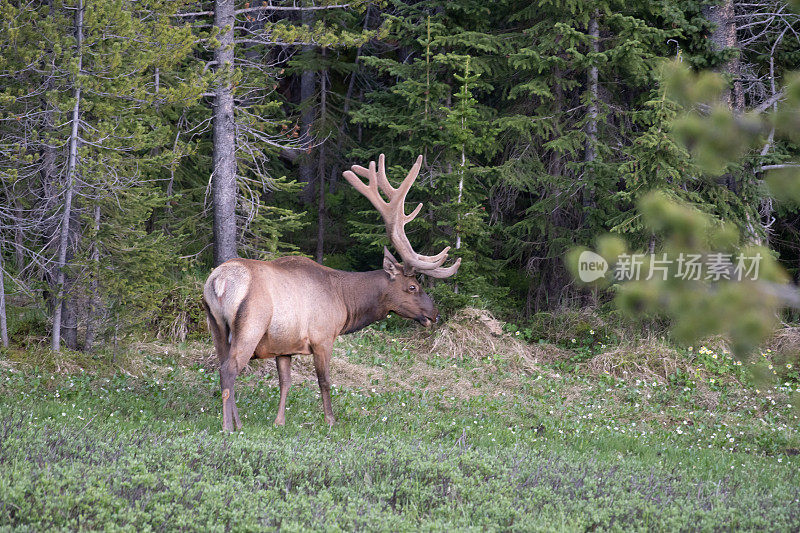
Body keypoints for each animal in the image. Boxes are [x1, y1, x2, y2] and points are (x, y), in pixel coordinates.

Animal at [203, 154, 460, 428]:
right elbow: (325, 381)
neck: (344, 302)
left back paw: (238, 423)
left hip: (217, 327)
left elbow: (286, 382)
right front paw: (330, 420)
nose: (434, 314)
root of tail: (218, 281)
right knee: (229, 369)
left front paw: (279, 421)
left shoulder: (284, 346)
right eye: (413, 287)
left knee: (222, 366)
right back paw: (228, 427)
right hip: (251, 324)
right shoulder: (323, 337)